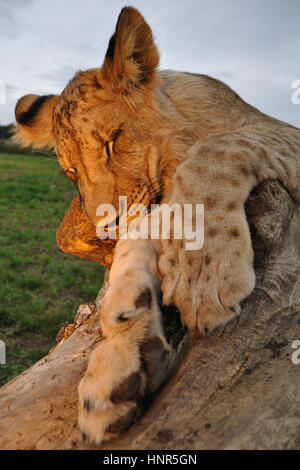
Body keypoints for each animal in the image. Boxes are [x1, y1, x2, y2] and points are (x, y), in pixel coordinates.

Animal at [12, 6, 300, 444]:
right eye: (70, 172)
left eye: (113, 141)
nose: (105, 228)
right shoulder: (152, 209)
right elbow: (131, 257)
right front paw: (121, 358)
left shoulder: (278, 131)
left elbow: (218, 147)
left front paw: (204, 277)